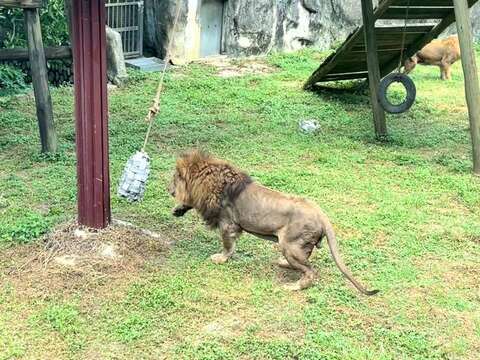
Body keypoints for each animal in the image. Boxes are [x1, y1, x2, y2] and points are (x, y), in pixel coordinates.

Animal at [169, 150, 378, 294]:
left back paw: (294, 286)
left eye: (173, 179)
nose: (168, 190)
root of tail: (321, 214)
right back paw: (284, 264)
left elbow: (228, 246)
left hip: (290, 245)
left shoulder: (228, 224)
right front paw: (178, 210)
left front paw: (221, 258)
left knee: (310, 271)